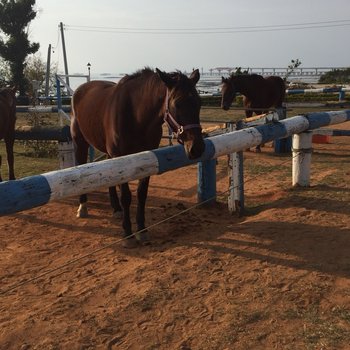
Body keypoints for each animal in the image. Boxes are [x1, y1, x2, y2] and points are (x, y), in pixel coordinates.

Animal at [71, 68, 205, 247]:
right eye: (177, 103)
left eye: (199, 103)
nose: (197, 148)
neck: (136, 115)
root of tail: (80, 89)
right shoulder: (121, 157)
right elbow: (126, 197)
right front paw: (128, 233)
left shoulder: (148, 157)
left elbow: (142, 194)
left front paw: (142, 229)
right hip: (81, 143)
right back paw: (83, 206)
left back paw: (116, 209)